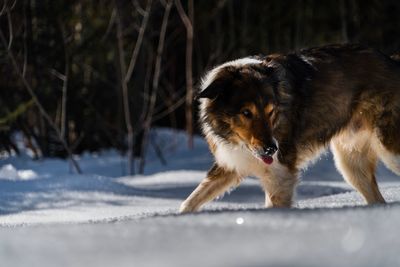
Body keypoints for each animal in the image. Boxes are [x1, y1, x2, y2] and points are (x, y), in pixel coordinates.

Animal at [180, 44, 400, 214]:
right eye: (246, 113)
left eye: (271, 112)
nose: (272, 149)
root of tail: (392, 59)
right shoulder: (230, 164)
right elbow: (189, 202)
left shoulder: (281, 173)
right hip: (351, 163)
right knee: (377, 200)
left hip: (388, 150)